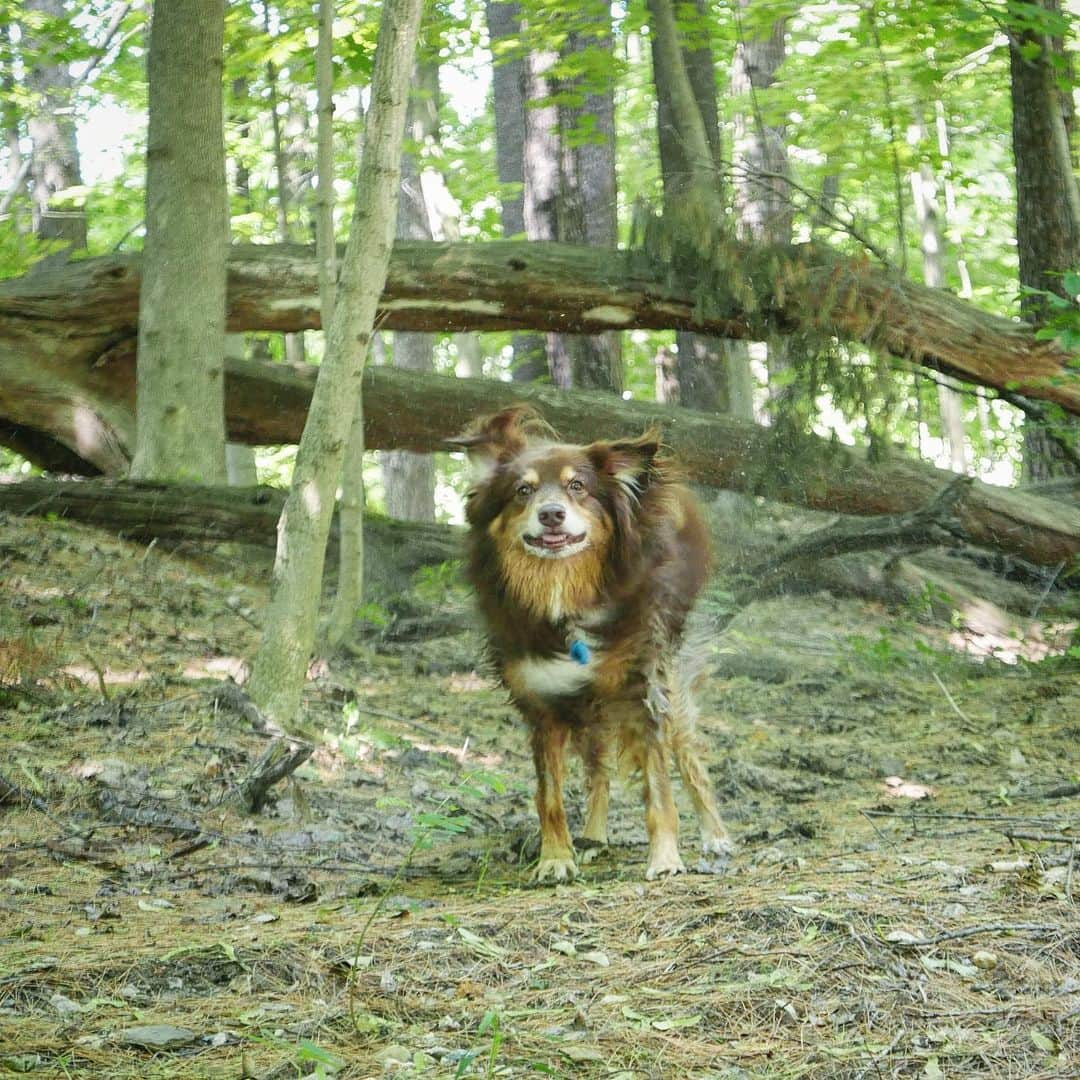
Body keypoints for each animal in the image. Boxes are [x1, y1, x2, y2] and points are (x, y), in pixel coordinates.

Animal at [442, 401, 730, 881]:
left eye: (577, 486)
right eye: (523, 490)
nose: (551, 514)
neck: (566, 597)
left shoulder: (642, 689)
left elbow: (659, 786)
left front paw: (666, 859)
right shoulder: (543, 702)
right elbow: (549, 795)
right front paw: (555, 858)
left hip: (667, 684)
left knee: (687, 755)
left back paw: (715, 834)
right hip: (589, 709)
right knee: (599, 770)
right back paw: (593, 836)